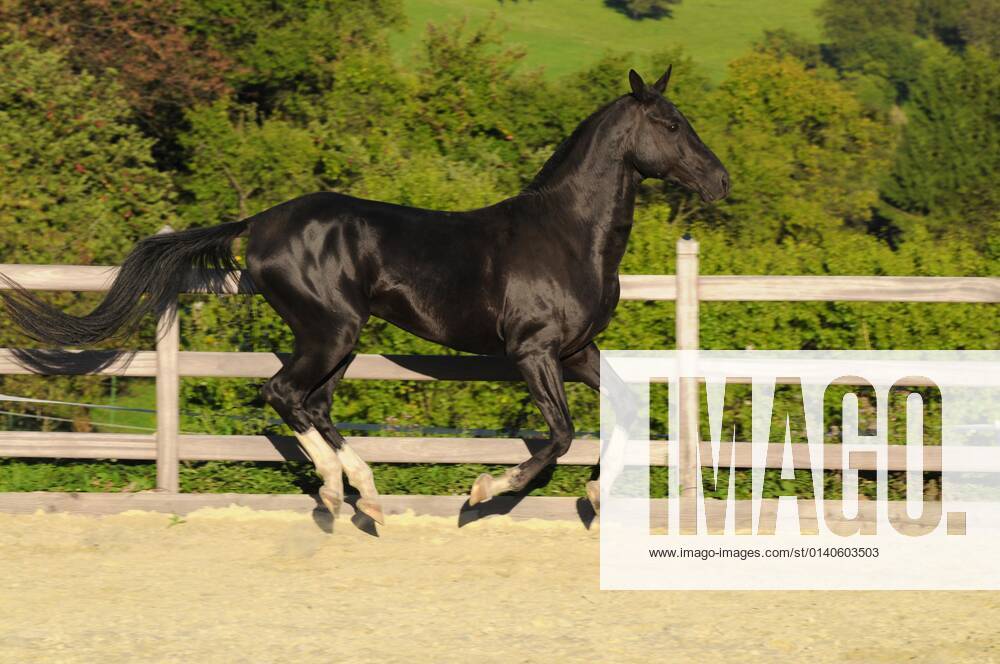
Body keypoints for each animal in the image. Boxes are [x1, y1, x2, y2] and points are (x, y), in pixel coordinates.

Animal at [1, 67, 729, 525]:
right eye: (670, 124)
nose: (720, 180)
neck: (567, 233)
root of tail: (260, 222)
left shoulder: (578, 351)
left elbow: (628, 413)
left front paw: (596, 499)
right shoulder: (533, 352)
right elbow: (558, 435)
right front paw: (482, 491)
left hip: (339, 337)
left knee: (313, 404)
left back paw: (368, 496)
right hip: (332, 331)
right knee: (284, 394)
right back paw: (336, 492)